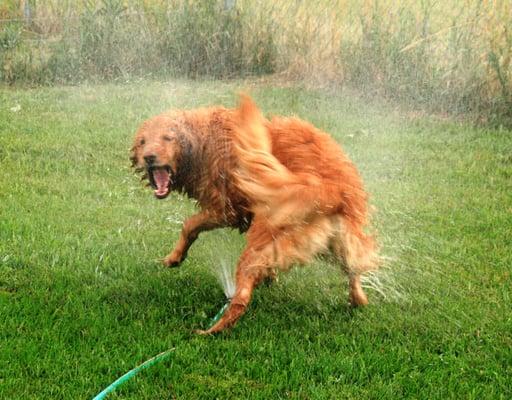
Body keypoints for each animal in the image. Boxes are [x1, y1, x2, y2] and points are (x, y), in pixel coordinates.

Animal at [130, 95, 378, 332]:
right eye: (143, 142)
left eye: (167, 138)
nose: (149, 157)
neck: (202, 142)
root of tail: (328, 188)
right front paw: (270, 277)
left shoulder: (226, 210)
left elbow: (189, 225)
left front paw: (175, 257)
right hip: (337, 241)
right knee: (353, 272)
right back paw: (358, 300)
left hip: (259, 242)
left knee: (241, 297)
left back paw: (213, 329)